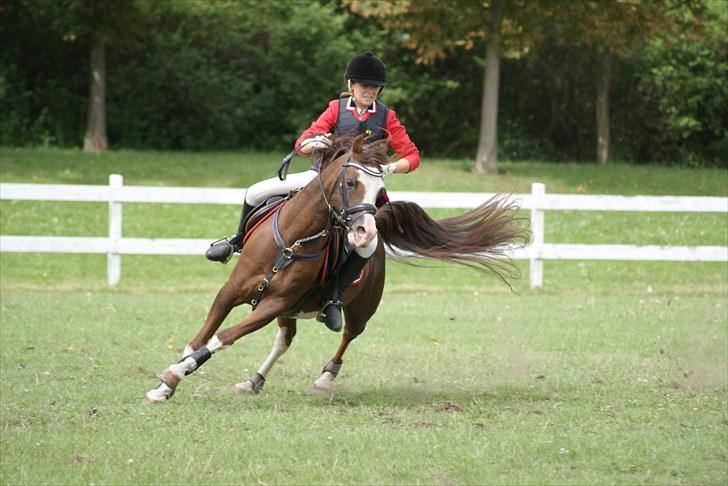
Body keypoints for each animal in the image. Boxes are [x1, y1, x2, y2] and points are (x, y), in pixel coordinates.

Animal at [144, 134, 528, 402]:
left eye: (379, 190)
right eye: (350, 183)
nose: (364, 232)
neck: (292, 241)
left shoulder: (272, 304)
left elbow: (223, 338)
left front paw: (174, 376)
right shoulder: (233, 292)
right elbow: (201, 338)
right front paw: (168, 382)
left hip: (357, 309)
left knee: (347, 336)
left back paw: (325, 376)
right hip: (290, 310)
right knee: (285, 339)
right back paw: (253, 381)